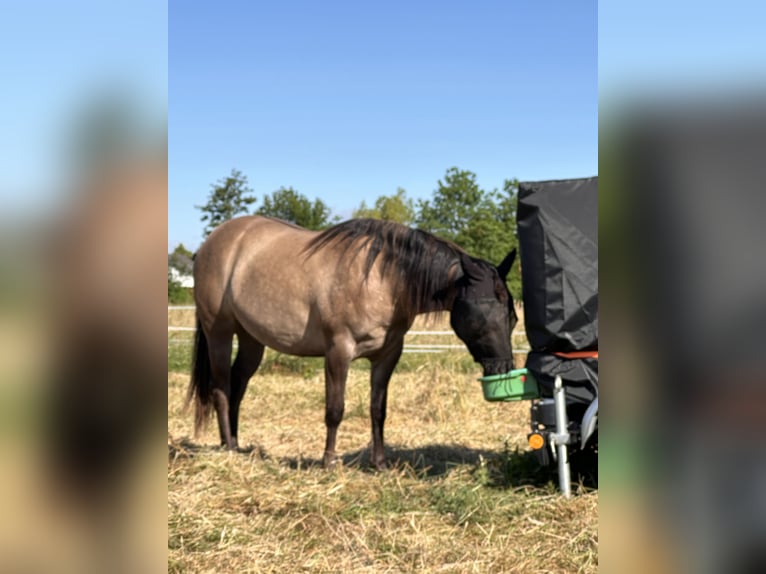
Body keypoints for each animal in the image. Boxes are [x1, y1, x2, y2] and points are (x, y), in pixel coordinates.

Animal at [188, 215, 520, 468]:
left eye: (512, 318)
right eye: (482, 317)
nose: (503, 370)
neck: (383, 279)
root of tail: (211, 243)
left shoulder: (387, 355)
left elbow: (378, 410)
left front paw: (379, 463)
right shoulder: (338, 352)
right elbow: (335, 410)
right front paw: (329, 462)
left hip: (251, 339)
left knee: (237, 387)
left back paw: (233, 443)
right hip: (219, 332)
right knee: (221, 388)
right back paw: (229, 449)